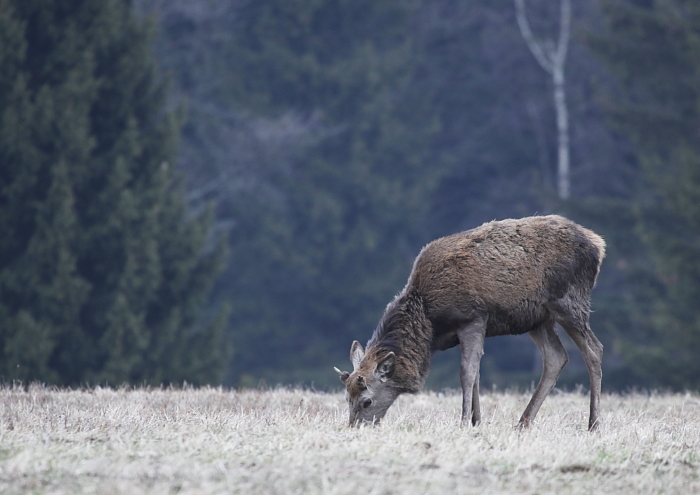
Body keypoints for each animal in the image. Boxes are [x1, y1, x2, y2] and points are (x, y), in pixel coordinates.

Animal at [336, 215, 604, 432]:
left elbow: (467, 371)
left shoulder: (472, 317)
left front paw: (464, 421)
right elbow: (475, 373)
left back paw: (593, 424)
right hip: (537, 319)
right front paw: (477, 421)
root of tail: (598, 245)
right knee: (556, 357)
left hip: (568, 300)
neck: (429, 325)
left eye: (367, 400)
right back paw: (523, 423)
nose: (354, 427)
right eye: (346, 398)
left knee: (594, 349)